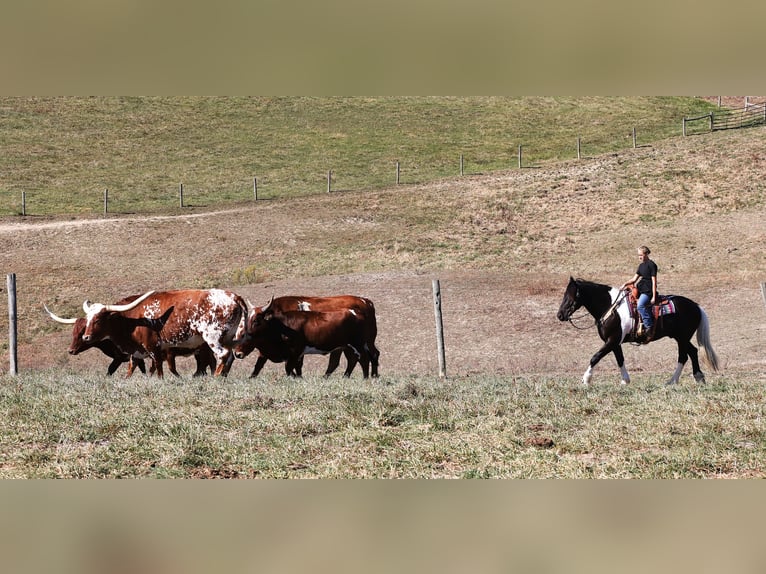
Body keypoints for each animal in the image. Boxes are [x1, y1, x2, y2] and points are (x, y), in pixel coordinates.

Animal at [78, 288, 248, 378]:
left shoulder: (153, 347)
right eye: (88, 319)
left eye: (98, 319)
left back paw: (216, 376)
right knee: (229, 356)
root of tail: (233, 296)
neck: (133, 318)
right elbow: (132, 368)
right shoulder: (139, 350)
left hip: (212, 337)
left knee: (222, 354)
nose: (86, 337)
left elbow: (158, 367)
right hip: (228, 337)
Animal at [243, 296, 380, 382]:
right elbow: (261, 364)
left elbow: (290, 367)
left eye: (256, 320)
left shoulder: (296, 350)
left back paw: (368, 378)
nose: (247, 333)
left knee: (367, 357)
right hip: (348, 346)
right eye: (248, 318)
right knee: (351, 360)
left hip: (361, 343)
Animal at [560, 280, 720, 388]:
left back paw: (677, 380)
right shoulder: (615, 342)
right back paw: (692, 378)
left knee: (685, 355)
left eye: (571, 295)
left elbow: (595, 357)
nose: (560, 315)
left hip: (682, 338)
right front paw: (625, 380)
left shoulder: (612, 340)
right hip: (680, 337)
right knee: (690, 353)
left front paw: (586, 379)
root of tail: (696, 306)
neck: (611, 308)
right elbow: (620, 359)